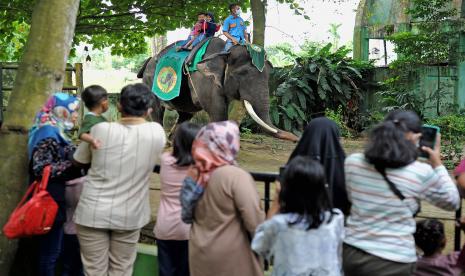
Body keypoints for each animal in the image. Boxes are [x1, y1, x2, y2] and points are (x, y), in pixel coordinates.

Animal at [138, 37, 298, 141]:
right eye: (243, 73)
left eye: (268, 74)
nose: (297, 137)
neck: (225, 51)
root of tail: (148, 60)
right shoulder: (204, 79)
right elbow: (217, 111)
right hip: (149, 82)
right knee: (157, 111)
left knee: (185, 114)